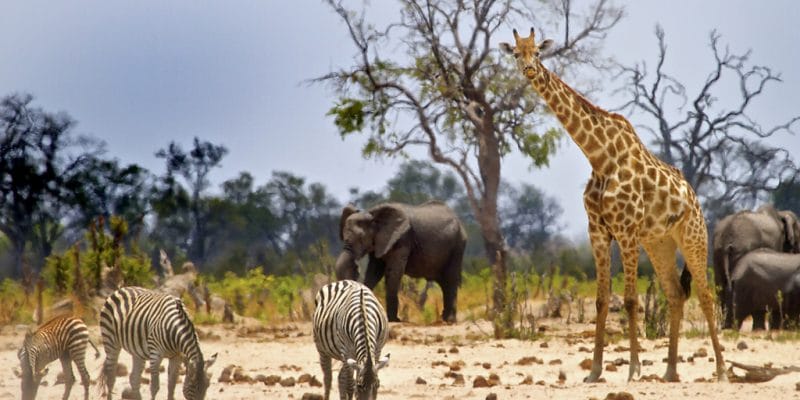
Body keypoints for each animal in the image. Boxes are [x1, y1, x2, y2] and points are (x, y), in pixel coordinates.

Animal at [332, 202, 468, 324]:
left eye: (361, 237)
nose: (356, 268)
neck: (373, 215)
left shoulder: (402, 240)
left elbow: (393, 272)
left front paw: (393, 320)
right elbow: (374, 272)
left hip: (457, 246)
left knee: (450, 279)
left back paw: (449, 320)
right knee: (444, 283)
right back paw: (444, 319)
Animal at [504, 28, 728, 382]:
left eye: (537, 52)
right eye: (515, 53)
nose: (528, 70)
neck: (599, 157)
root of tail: (693, 196)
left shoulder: (625, 230)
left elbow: (632, 299)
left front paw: (634, 369)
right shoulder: (597, 231)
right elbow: (601, 299)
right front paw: (595, 371)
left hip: (693, 235)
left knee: (705, 295)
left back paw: (720, 370)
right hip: (659, 243)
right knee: (675, 294)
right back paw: (670, 371)